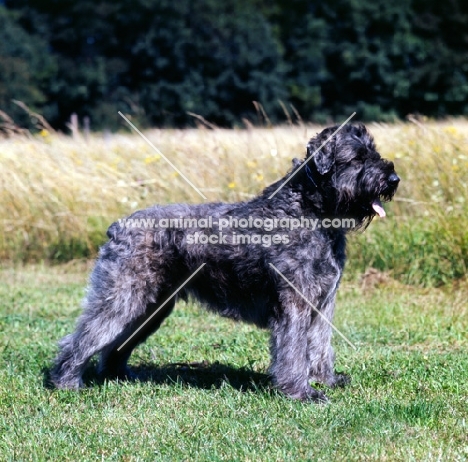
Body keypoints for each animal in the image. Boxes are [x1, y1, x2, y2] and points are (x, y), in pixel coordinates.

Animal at [53, 123, 400, 400]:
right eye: (357, 158)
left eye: (373, 152)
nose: (393, 178)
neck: (309, 213)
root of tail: (118, 226)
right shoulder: (295, 304)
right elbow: (293, 351)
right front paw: (300, 392)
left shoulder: (322, 304)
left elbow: (320, 346)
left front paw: (326, 380)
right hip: (123, 299)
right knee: (83, 337)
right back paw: (66, 381)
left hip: (150, 308)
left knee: (116, 343)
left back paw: (117, 375)